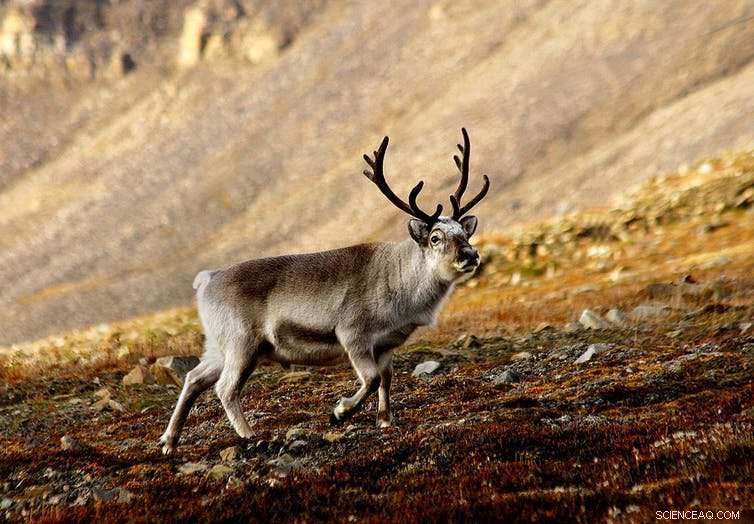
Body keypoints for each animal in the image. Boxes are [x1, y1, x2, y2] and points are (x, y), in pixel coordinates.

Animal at [159, 128, 490, 454]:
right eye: (435, 237)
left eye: (464, 232)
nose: (470, 255)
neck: (401, 282)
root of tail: (206, 280)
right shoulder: (352, 334)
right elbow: (371, 379)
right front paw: (341, 412)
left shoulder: (386, 345)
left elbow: (386, 379)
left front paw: (385, 421)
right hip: (242, 343)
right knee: (225, 388)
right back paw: (248, 434)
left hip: (219, 345)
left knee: (193, 378)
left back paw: (169, 442)